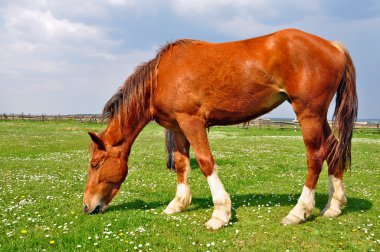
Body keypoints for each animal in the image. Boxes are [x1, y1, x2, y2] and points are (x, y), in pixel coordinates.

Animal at [82, 28, 356, 229]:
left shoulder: (192, 122)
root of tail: (334, 46)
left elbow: (205, 162)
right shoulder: (178, 127)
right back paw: (333, 206)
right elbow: (181, 164)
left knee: (316, 157)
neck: (161, 76)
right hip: (317, 116)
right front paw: (178, 204)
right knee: (333, 149)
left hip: (309, 113)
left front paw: (220, 213)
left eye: (95, 164)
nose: (86, 206)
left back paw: (299, 212)